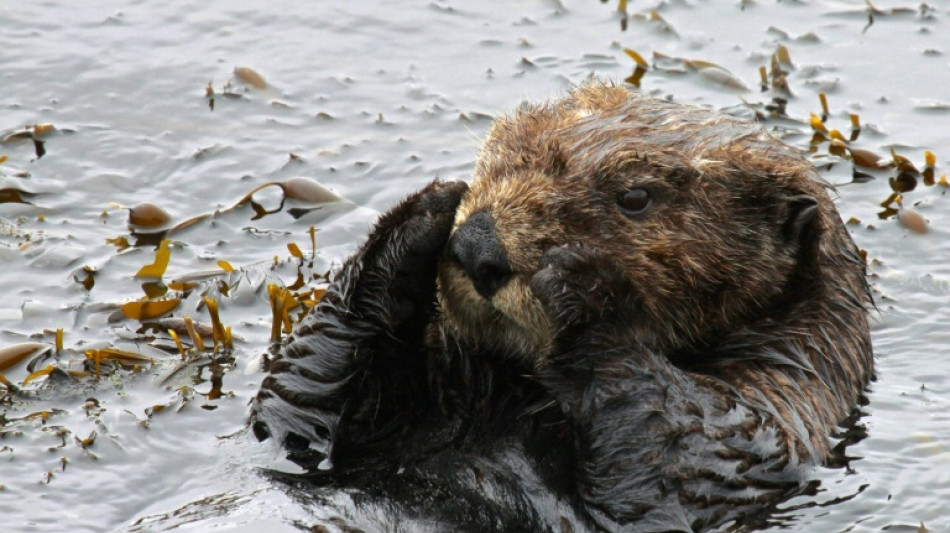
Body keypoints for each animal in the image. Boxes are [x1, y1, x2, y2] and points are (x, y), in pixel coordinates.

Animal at [249, 83, 872, 532]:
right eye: (494, 155)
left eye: (635, 197)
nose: (477, 244)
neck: (515, 395)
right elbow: (293, 404)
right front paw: (425, 212)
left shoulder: (772, 418)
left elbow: (677, 455)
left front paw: (582, 283)